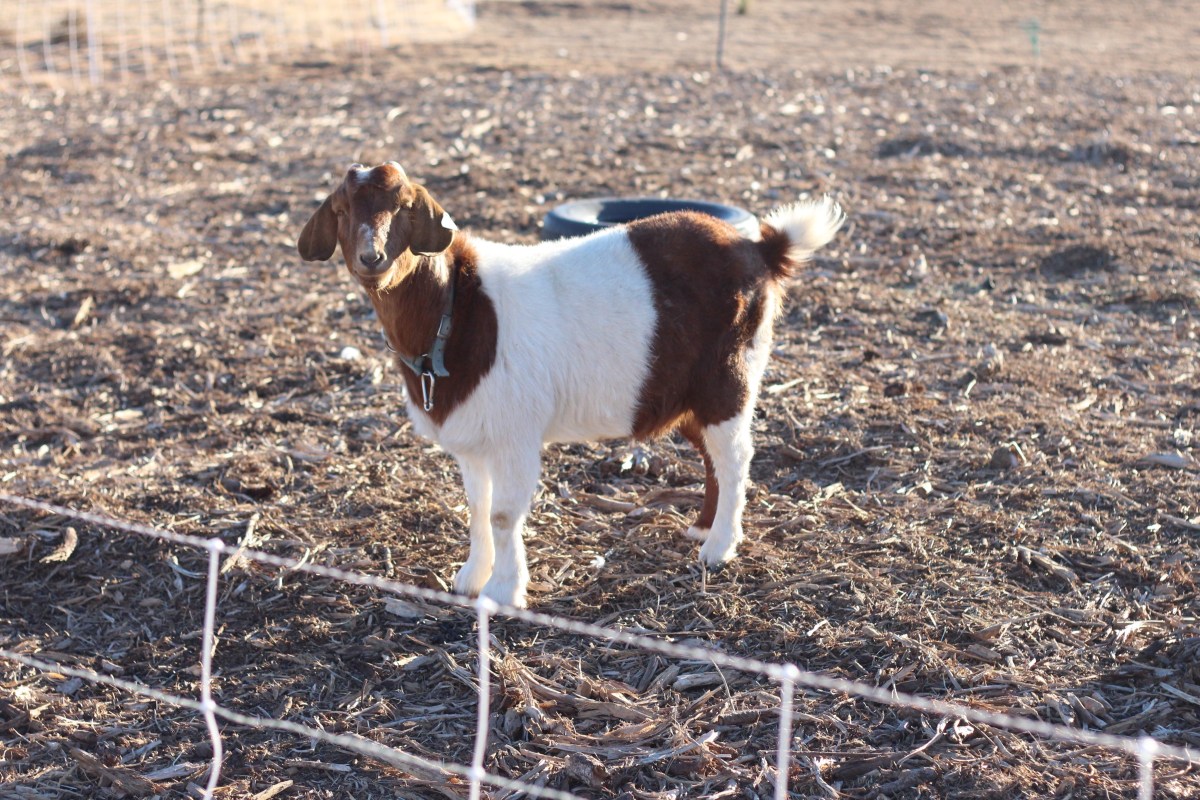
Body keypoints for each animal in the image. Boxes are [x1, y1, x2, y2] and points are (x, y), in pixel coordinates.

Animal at [298, 161, 844, 608]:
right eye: (342, 209)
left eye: (406, 207)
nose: (372, 259)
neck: (456, 308)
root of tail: (761, 247)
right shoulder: (473, 437)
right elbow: (476, 508)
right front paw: (470, 578)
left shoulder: (515, 432)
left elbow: (503, 514)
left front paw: (502, 593)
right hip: (683, 392)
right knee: (712, 455)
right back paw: (702, 529)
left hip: (728, 377)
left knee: (735, 457)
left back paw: (719, 548)